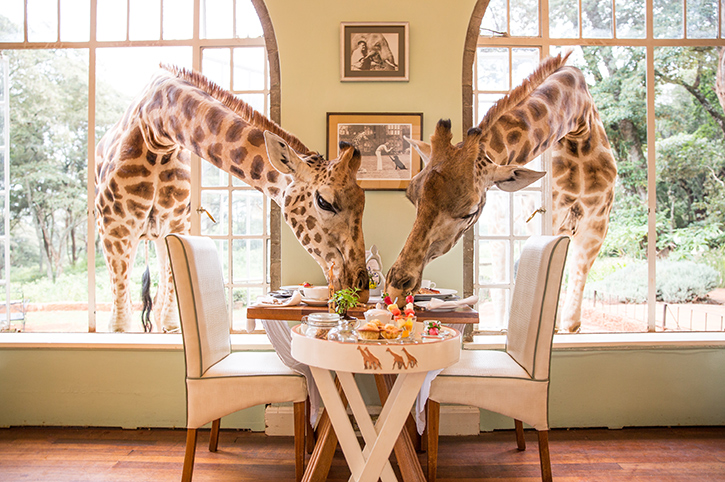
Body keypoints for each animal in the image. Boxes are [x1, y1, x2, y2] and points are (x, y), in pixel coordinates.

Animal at [96, 65, 369, 333]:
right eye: (324, 202)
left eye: (363, 202)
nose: (362, 289)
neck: (157, 129)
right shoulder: (114, 229)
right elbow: (119, 325)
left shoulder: (176, 225)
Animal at [385, 52, 617, 332]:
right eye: (412, 197)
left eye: (470, 211)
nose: (396, 288)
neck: (578, 125)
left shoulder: (595, 226)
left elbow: (571, 320)